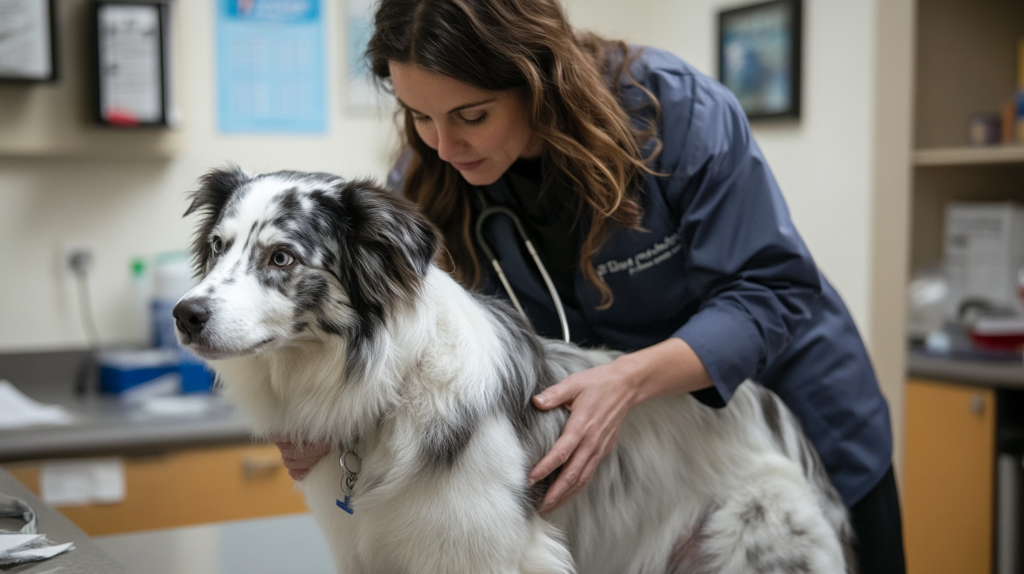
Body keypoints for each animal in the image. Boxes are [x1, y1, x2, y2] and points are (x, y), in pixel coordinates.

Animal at [174, 166, 856, 572]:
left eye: (281, 257)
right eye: (217, 248)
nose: (184, 315)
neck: (393, 387)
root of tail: (778, 411)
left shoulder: (486, 550)